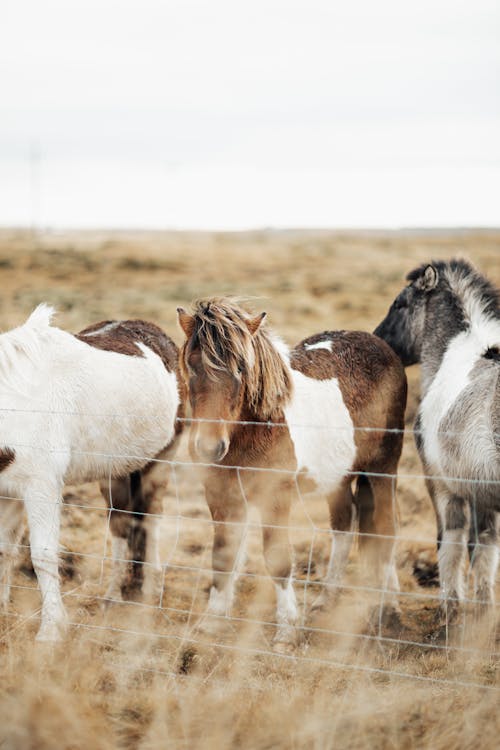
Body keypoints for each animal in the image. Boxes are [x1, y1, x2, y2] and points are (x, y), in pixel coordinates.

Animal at [0, 306, 183, 640]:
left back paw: (150, 597)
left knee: (150, 522)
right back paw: (113, 597)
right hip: (116, 475)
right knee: (122, 525)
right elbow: (5, 551)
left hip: (160, 463)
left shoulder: (42, 487)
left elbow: (42, 554)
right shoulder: (7, 489)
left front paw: (50, 631)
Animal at [177, 296, 406, 648]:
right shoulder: (222, 497)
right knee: (345, 524)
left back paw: (389, 605)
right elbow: (223, 556)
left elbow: (278, 560)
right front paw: (211, 622)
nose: (209, 447)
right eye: (191, 365)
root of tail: (382, 346)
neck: (257, 428)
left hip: (384, 467)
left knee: (386, 527)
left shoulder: (275, 499)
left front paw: (287, 631)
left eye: (241, 368)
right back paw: (327, 599)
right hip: (337, 478)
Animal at [376, 260, 498, 624]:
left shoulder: (442, 487)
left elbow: (451, 545)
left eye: (400, 304)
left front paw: (450, 610)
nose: (378, 340)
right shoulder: (483, 494)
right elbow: (485, 549)